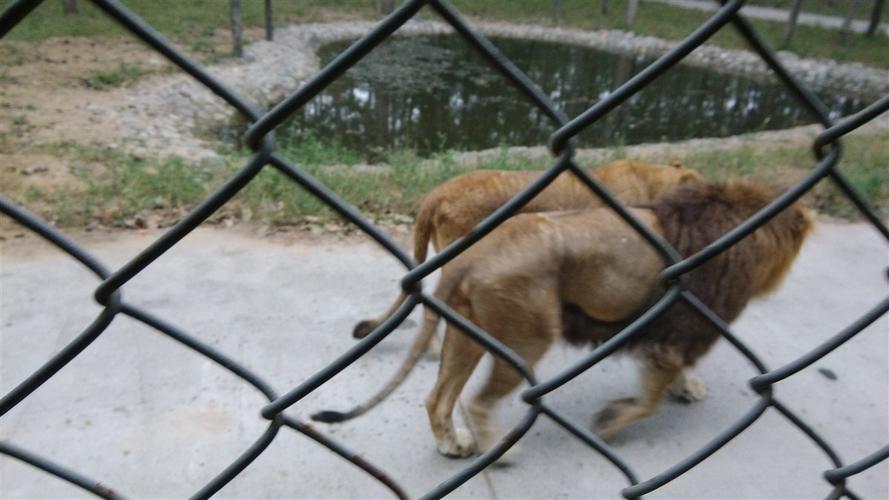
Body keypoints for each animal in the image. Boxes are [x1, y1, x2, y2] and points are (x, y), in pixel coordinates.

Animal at [318, 178, 812, 458]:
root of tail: (469, 256)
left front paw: (680, 388)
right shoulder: (679, 330)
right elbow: (651, 396)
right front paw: (612, 421)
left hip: (470, 332)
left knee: (438, 398)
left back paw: (453, 444)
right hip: (527, 337)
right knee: (476, 401)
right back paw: (496, 449)